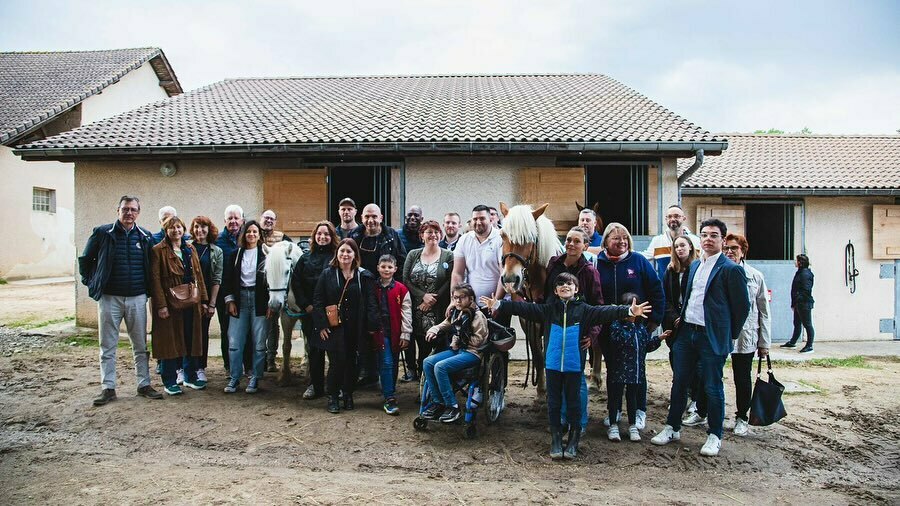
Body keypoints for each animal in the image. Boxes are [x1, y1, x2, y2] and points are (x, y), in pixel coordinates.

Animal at [262, 239, 304, 386]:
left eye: (286, 271)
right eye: (266, 272)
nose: (274, 305)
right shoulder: (286, 316)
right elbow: (286, 346)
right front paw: (285, 376)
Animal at [500, 202, 564, 396]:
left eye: (529, 238)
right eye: (502, 235)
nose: (510, 279)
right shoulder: (527, 320)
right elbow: (538, 354)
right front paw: (542, 389)